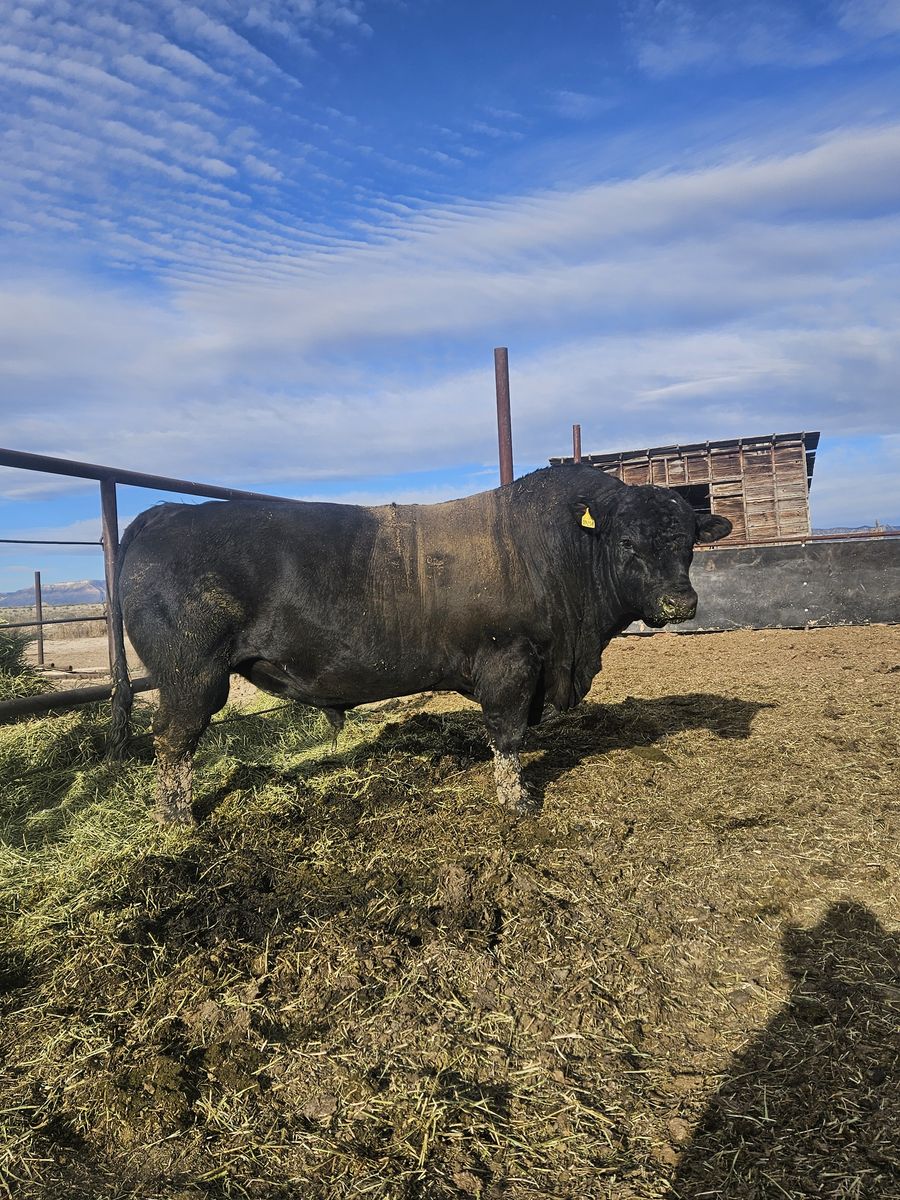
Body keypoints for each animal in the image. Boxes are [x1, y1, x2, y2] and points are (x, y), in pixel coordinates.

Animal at [111, 464, 731, 824]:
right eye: (626, 542)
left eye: (689, 542)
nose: (679, 604)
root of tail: (164, 513)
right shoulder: (510, 660)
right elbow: (506, 736)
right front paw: (518, 801)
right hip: (192, 675)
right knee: (172, 738)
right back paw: (178, 818)